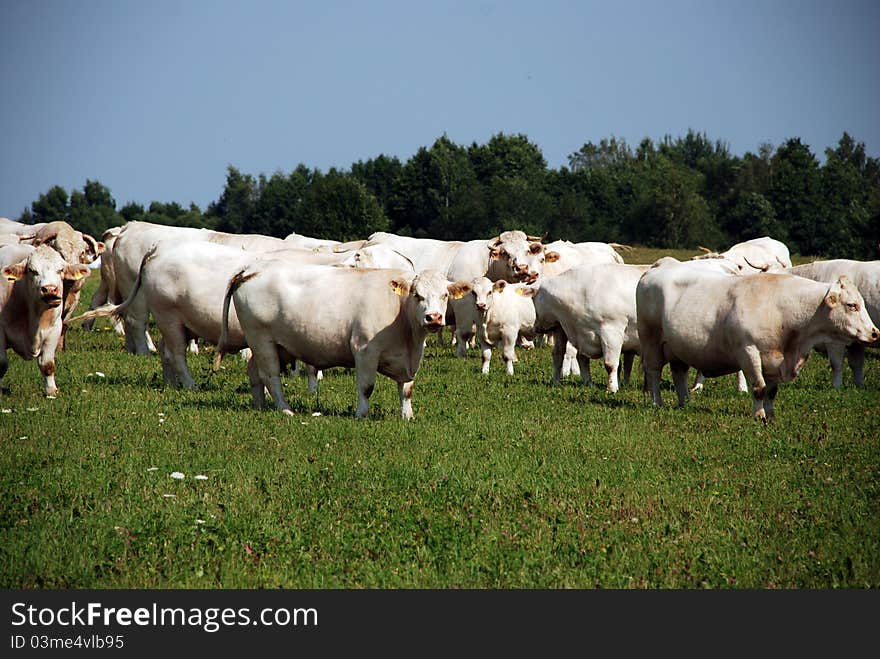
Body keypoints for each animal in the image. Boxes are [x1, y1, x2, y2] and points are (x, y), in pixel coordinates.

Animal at [217, 262, 470, 418]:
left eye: (444, 295)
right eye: (417, 295)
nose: (433, 317)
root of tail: (251, 269)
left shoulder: (408, 360)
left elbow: (406, 390)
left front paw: (407, 416)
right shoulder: (365, 350)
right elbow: (366, 387)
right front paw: (361, 415)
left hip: (273, 345)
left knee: (254, 372)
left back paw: (259, 405)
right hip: (262, 339)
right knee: (270, 376)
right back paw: (286, 410)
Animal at [528, 262, 648, 390]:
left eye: (533, 298)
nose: (536, 327)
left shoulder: (612, 332)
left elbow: (610, 365)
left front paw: (611, 388)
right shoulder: (566, 328)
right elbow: (570, 356)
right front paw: (581, 382)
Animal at [788, 260, 876, 390]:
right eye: (853, 305)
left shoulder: (836, 339)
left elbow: (837, 364)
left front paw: (837, 388)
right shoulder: (857, 340)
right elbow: (856, 364)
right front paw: (859, 387)